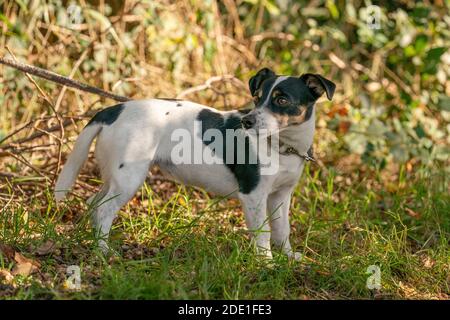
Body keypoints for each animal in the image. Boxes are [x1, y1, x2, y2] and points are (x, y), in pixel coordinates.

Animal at [55, 68, 334, 260]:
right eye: (256, 99)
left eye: (282, 100)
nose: (247, 122)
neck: (281, 147)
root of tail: (112, 111)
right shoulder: (254, 195)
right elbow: (263, 233)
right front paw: (266, 262)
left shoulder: (281, 196)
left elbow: (282, 229)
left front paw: (288, 257)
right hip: (128, 179)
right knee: (104, 210)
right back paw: (104, 250)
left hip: (113, 176)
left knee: (94, 203)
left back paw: (91, 240)